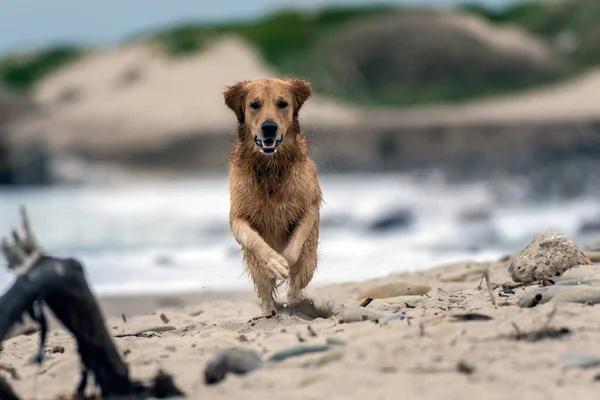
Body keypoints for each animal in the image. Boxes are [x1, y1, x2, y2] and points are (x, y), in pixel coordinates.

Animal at [223, 76, 322, 318]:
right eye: (254, 105)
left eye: (282, 103)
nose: (269, 127)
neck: (270, 168)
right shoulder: (238, 215)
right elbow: (254, 241)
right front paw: (275, 263)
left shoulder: (309, 206)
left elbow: (294, 247)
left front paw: (283, 262)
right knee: (264, 286)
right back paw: (268, 311)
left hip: (311, 255)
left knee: (299, 280)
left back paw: (296, 299)